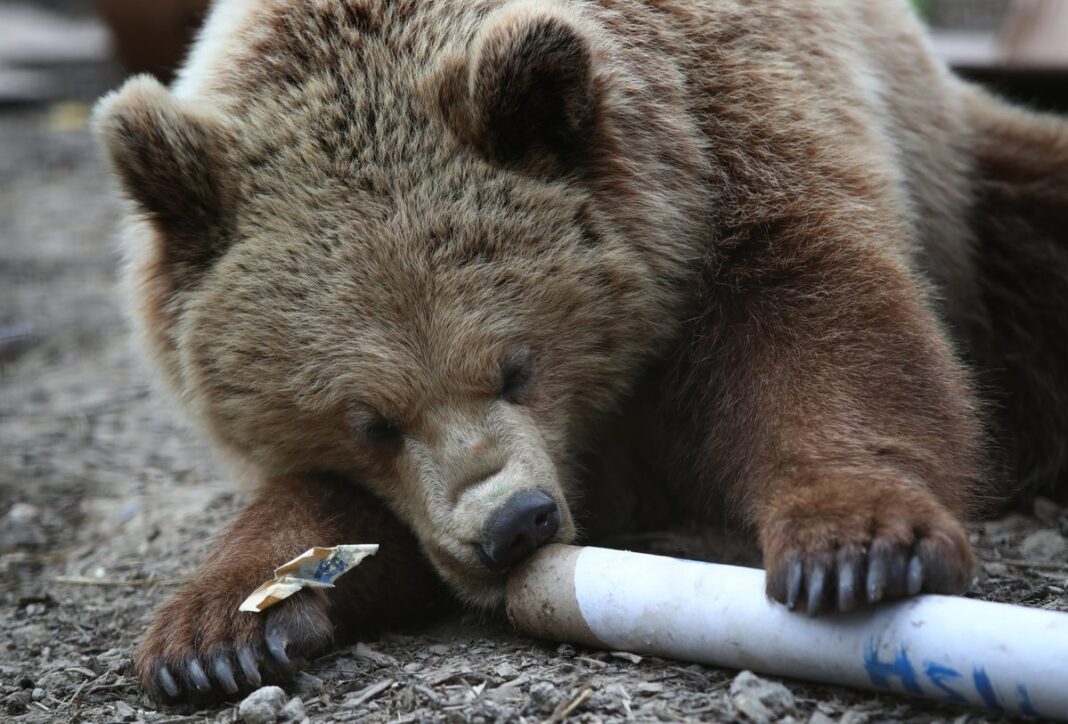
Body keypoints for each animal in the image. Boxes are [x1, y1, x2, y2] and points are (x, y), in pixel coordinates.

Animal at [92, 0, 1068, 701]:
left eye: (517, 366)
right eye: (370, 421)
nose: (513, 524)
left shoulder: (732, 147)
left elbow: (825, 327)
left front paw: (855, 553)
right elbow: (333, 513)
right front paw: (222, 630)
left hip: (973, 193)